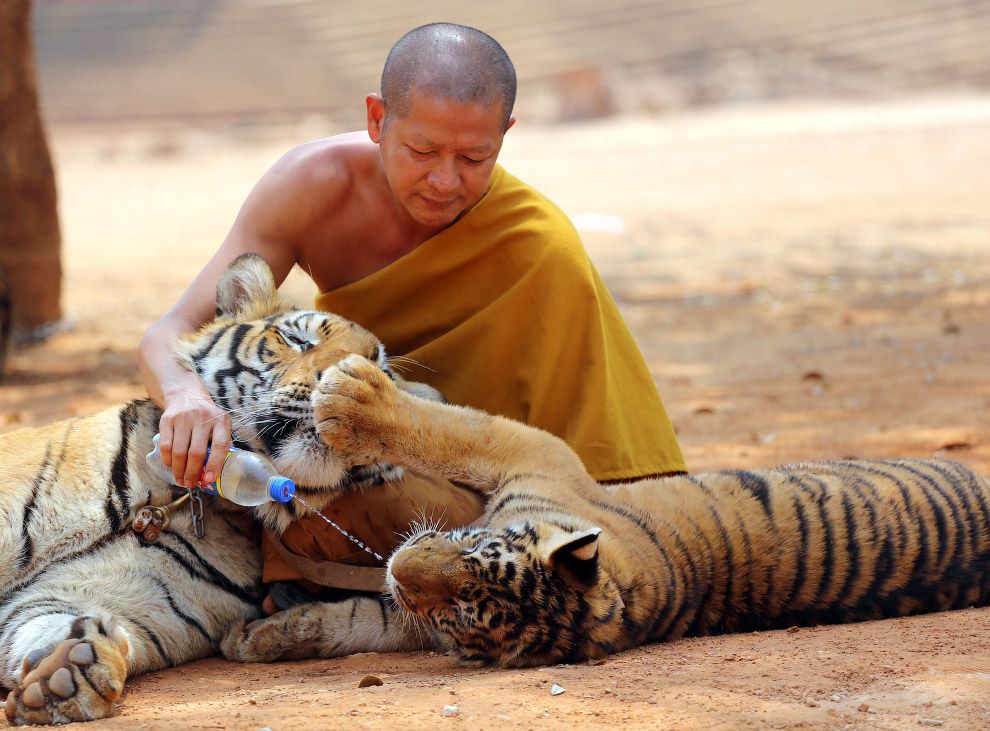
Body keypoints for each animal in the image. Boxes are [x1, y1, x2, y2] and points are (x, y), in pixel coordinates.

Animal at [1, 254, 440, 724]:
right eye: (297, 339)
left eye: (381, 374)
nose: (340, 383)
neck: (176, 500)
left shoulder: (119, 598)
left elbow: (47, 620)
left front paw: (67, 671)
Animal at [229, 354, 990, 668]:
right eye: (472, 552)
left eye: (462, 611)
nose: (398, 566)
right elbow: (358, 619)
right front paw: (261, 638)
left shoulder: (532, 451)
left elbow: (448, 429)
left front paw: (352, 397)